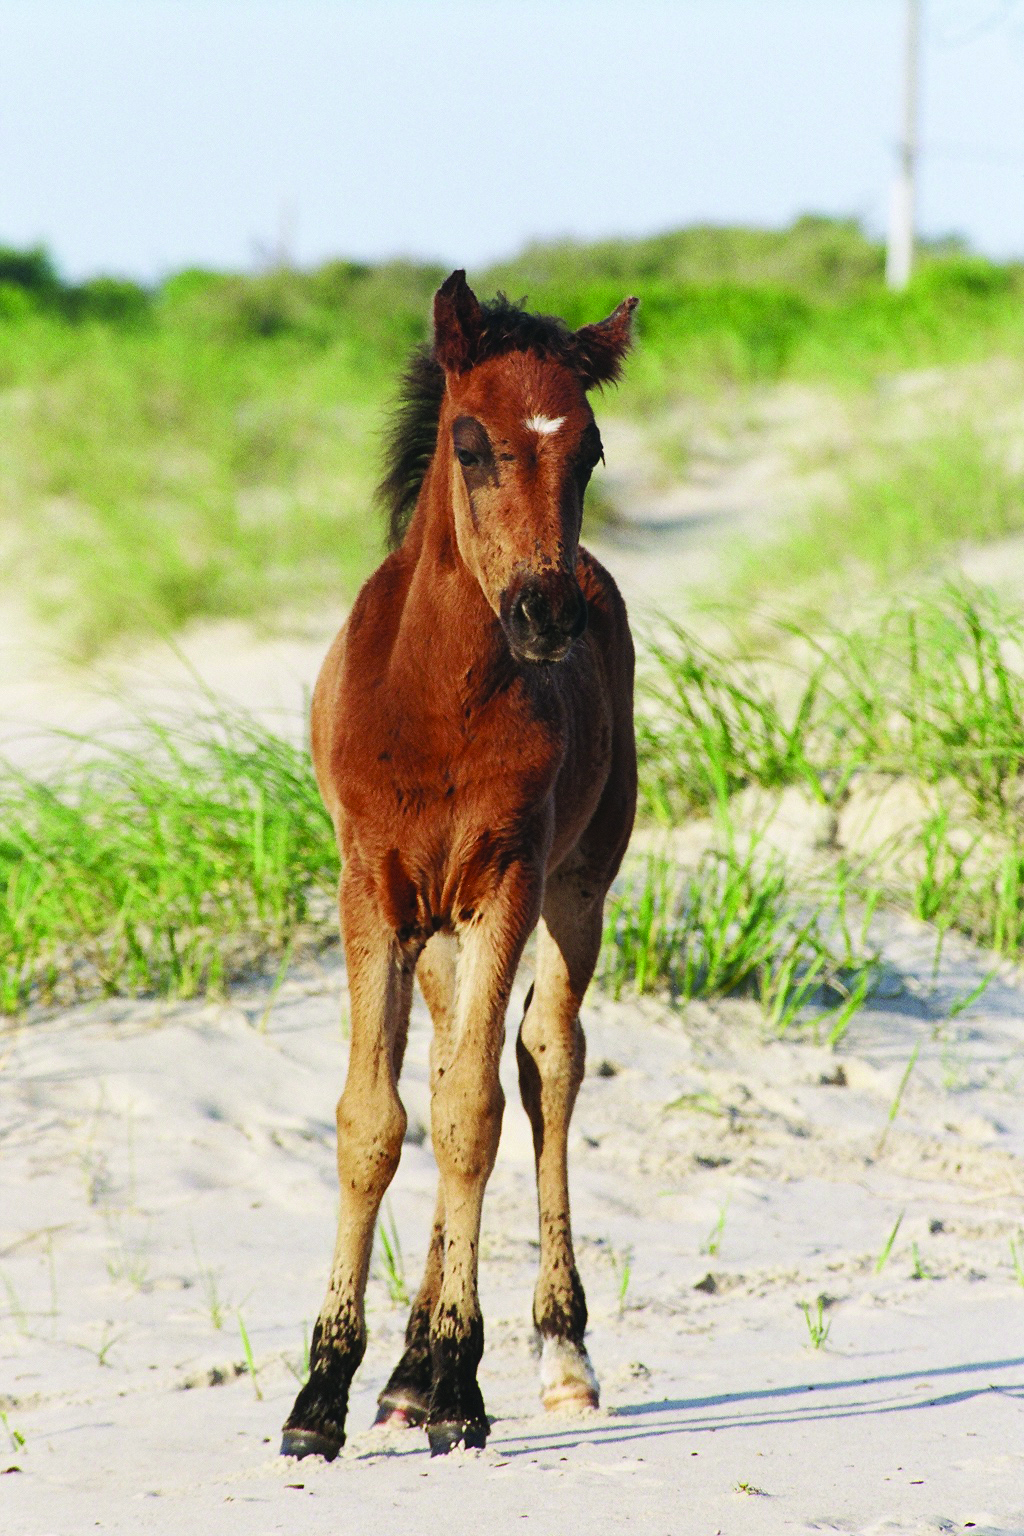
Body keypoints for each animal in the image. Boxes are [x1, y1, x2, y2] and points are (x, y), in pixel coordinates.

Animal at [280, 270, 632, 1456]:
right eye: (472, 443)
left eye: (590, 450)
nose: (545, 614)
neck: (433, 701)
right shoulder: (372, 893)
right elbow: (373, 1122)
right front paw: (321, 1396)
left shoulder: (507, 883)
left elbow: (474, 1115)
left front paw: (462, 1381)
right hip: (435, 934)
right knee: (440, 1069)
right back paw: (403, 1374)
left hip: (578, 886)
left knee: (544, 1060)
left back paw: (552, 1352)